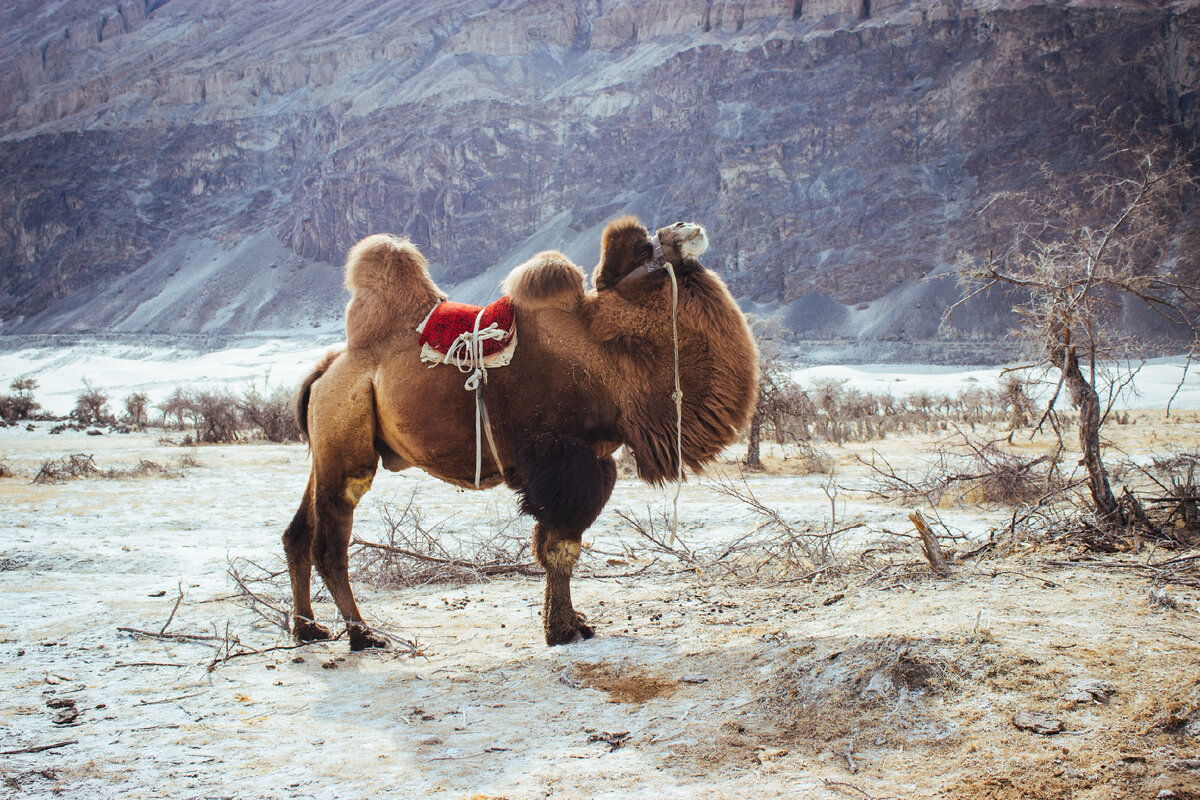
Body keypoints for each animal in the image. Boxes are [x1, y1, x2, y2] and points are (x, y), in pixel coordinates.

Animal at [284, 215, 753, 647]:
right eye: (642, 249)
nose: (685, 225)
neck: (605, 353)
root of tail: (326, 370)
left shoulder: (597, 460)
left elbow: (558, 546)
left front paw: (572, 621)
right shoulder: (561, 458)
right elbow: (559, 547)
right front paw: (562, 629)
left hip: (326, 447)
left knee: (297, 534)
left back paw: (308, 629)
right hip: (346, 442)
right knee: (329, 544)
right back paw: (363, 635)